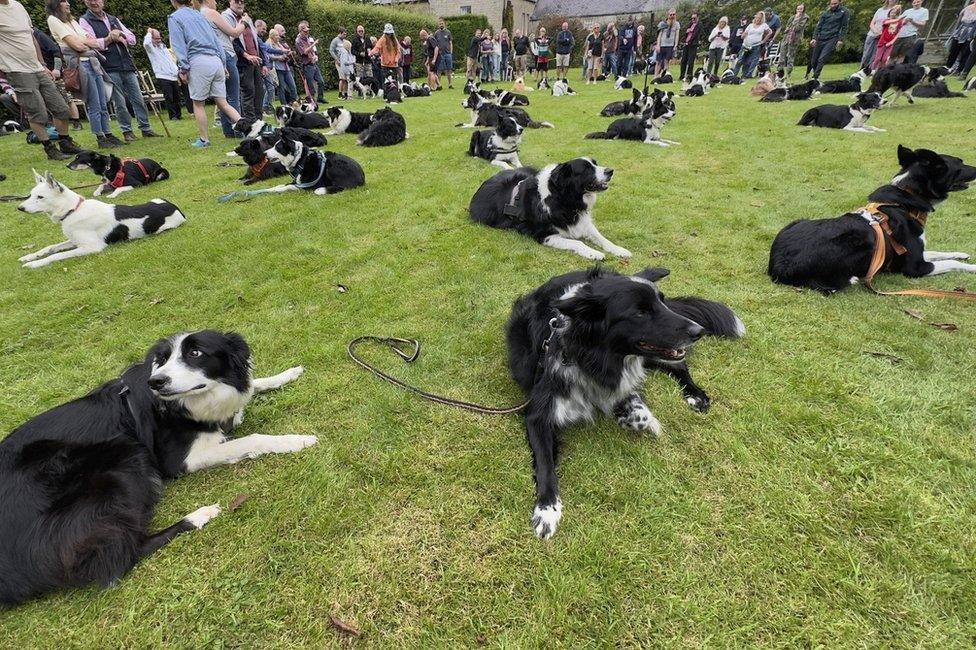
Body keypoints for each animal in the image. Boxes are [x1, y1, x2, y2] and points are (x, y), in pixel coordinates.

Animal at [0, 330, 316, 604]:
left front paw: (287, 373)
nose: (157, 382)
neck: (186, 403)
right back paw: (200, 515)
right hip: (127, 457)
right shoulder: (183, 458)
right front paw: (296, 440)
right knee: (120, 557)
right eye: (162, 360)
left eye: (195, 353)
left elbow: (252, 386)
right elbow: (253, 438)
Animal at [16, 170, 185, 268]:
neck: (73, 210)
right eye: (30, 195)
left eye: (40, 197)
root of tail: (175, 208)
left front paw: (35, 263)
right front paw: (29, 256)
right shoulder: (75, 240)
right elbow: (50, 247)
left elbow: (57, 255)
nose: (20, 208)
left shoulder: (92, 247)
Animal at [468, 157, 632, 258]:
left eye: (595, 164)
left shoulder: (582, 222)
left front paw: (619, 250)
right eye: (586, 169)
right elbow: (577, 242)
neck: (564, 200)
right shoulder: (544, 235)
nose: (610, 171)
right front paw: (594, 253)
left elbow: (601, 238)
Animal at [508, 264, 744, 536]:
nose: (699, 331)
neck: (589, 355)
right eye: (640, 312)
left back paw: (695, 395)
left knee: (679, 365)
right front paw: (547, 510)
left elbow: (638, 408)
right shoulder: (538, 412)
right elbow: (545, 464)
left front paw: (632, 416)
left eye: (661, 303)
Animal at [772, 147, 976, 292]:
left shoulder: (918, 252)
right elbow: (950, 263)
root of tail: (779, 266)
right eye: (960, 164)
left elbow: (938, 252)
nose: (975, 168)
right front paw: (973, 267)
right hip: (862, 240)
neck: (907, 198)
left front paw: (961, 254)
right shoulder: (915, 267)